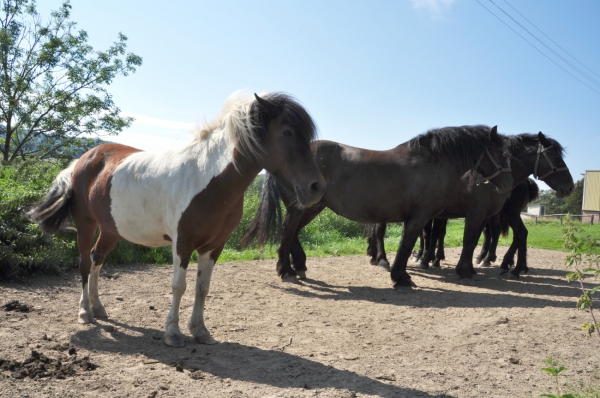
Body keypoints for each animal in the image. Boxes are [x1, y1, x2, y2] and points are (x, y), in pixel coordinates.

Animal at [25, 91, 326, 346]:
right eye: (287, 132)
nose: (316, 187)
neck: (208, 179)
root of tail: (82, 160)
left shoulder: (213, 246)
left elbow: (202, 287)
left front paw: (200, 331)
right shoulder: (183, 243)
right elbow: (179, 286)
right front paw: (173, 332)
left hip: (111, 230)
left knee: (97, 260)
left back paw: (99, 308)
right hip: (86, 225)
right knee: (85, 265)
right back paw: (85, 312)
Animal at [241, 124, 512, 290]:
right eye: (500, 151)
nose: (506, 186)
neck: (431, 163)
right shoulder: (420, 216)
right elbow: (407, 245)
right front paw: (401, 278)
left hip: (311, 207)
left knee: (292, 233)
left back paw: (298, 266)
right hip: (301, 206)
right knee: (288, 231)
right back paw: (287, 271)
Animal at [368, 132, 576, 278]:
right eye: (555, 157)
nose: (569, 187)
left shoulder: (471, 213)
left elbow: (448, 236)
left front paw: (428, 259)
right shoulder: (461, 214)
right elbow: (444, 235)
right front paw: (432, 259)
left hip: (509, 213)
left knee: (516, 234)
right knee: (516, 234)